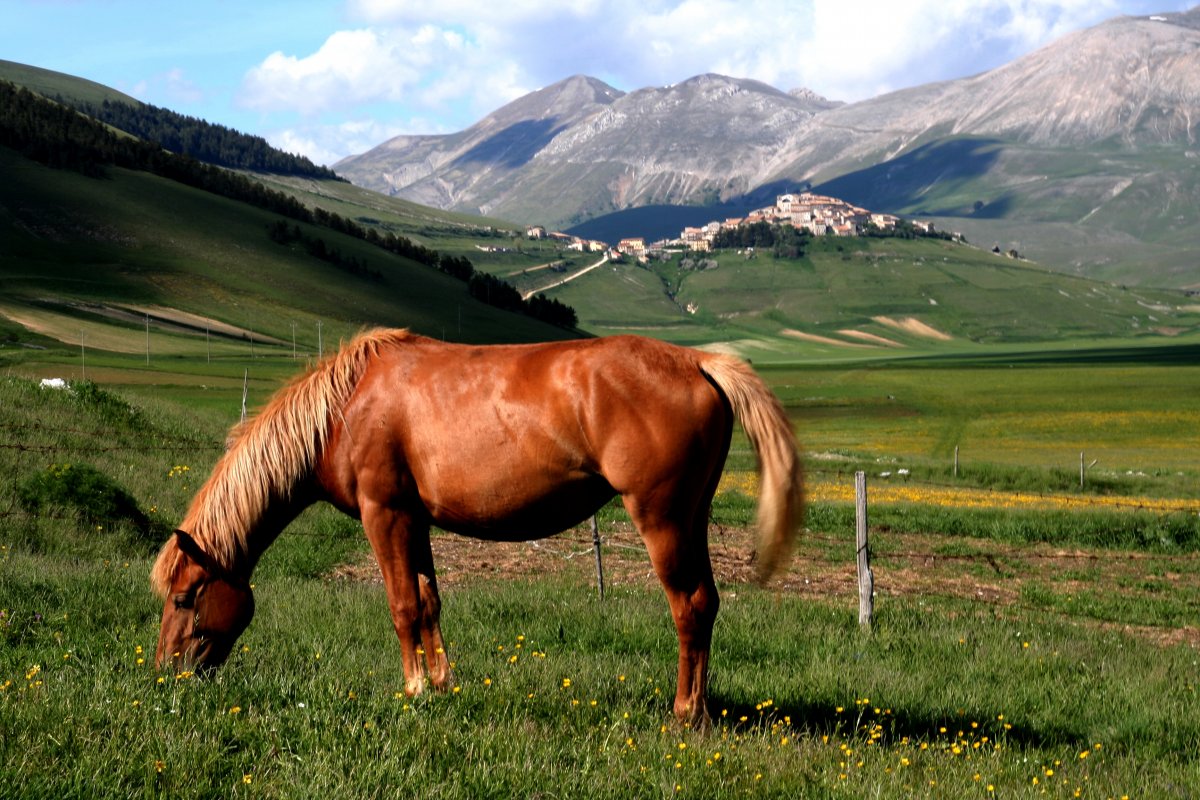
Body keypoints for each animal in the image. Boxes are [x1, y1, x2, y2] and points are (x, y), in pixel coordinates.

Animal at [152, 328, 806, 724]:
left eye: (187, 597)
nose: (164, 674)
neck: (345, 408)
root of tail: (698, 360)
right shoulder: (413, 520)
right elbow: (428, 601)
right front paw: (442, 684)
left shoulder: (384, 514)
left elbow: (401, 606)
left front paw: (414, 689)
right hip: (691, 520)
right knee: (708, 603)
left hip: (662, 520)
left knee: (688, 607)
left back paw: (684, 712)